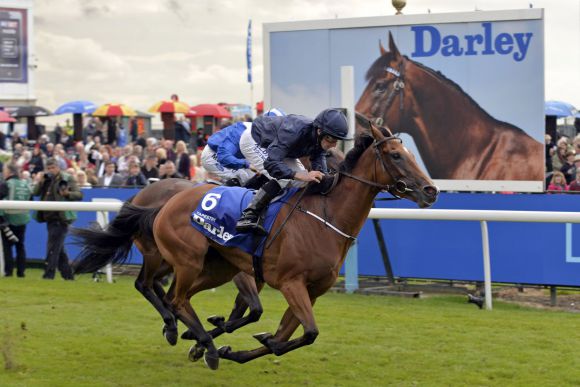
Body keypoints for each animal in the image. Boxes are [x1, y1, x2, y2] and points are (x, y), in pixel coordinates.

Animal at [124, 123, 436, 370]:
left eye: (410, 154)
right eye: (396, 155)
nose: (431, 190)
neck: (325, 217)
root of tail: (162, 203)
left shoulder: (312, 291)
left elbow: (287, 334)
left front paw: (235, 348)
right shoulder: (290, 283)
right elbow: (304, 332)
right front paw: (226, 343)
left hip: (216, 268)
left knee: (175, 298)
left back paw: (192, 336)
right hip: (187, 261)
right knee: (170, 297)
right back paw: (202, 345)